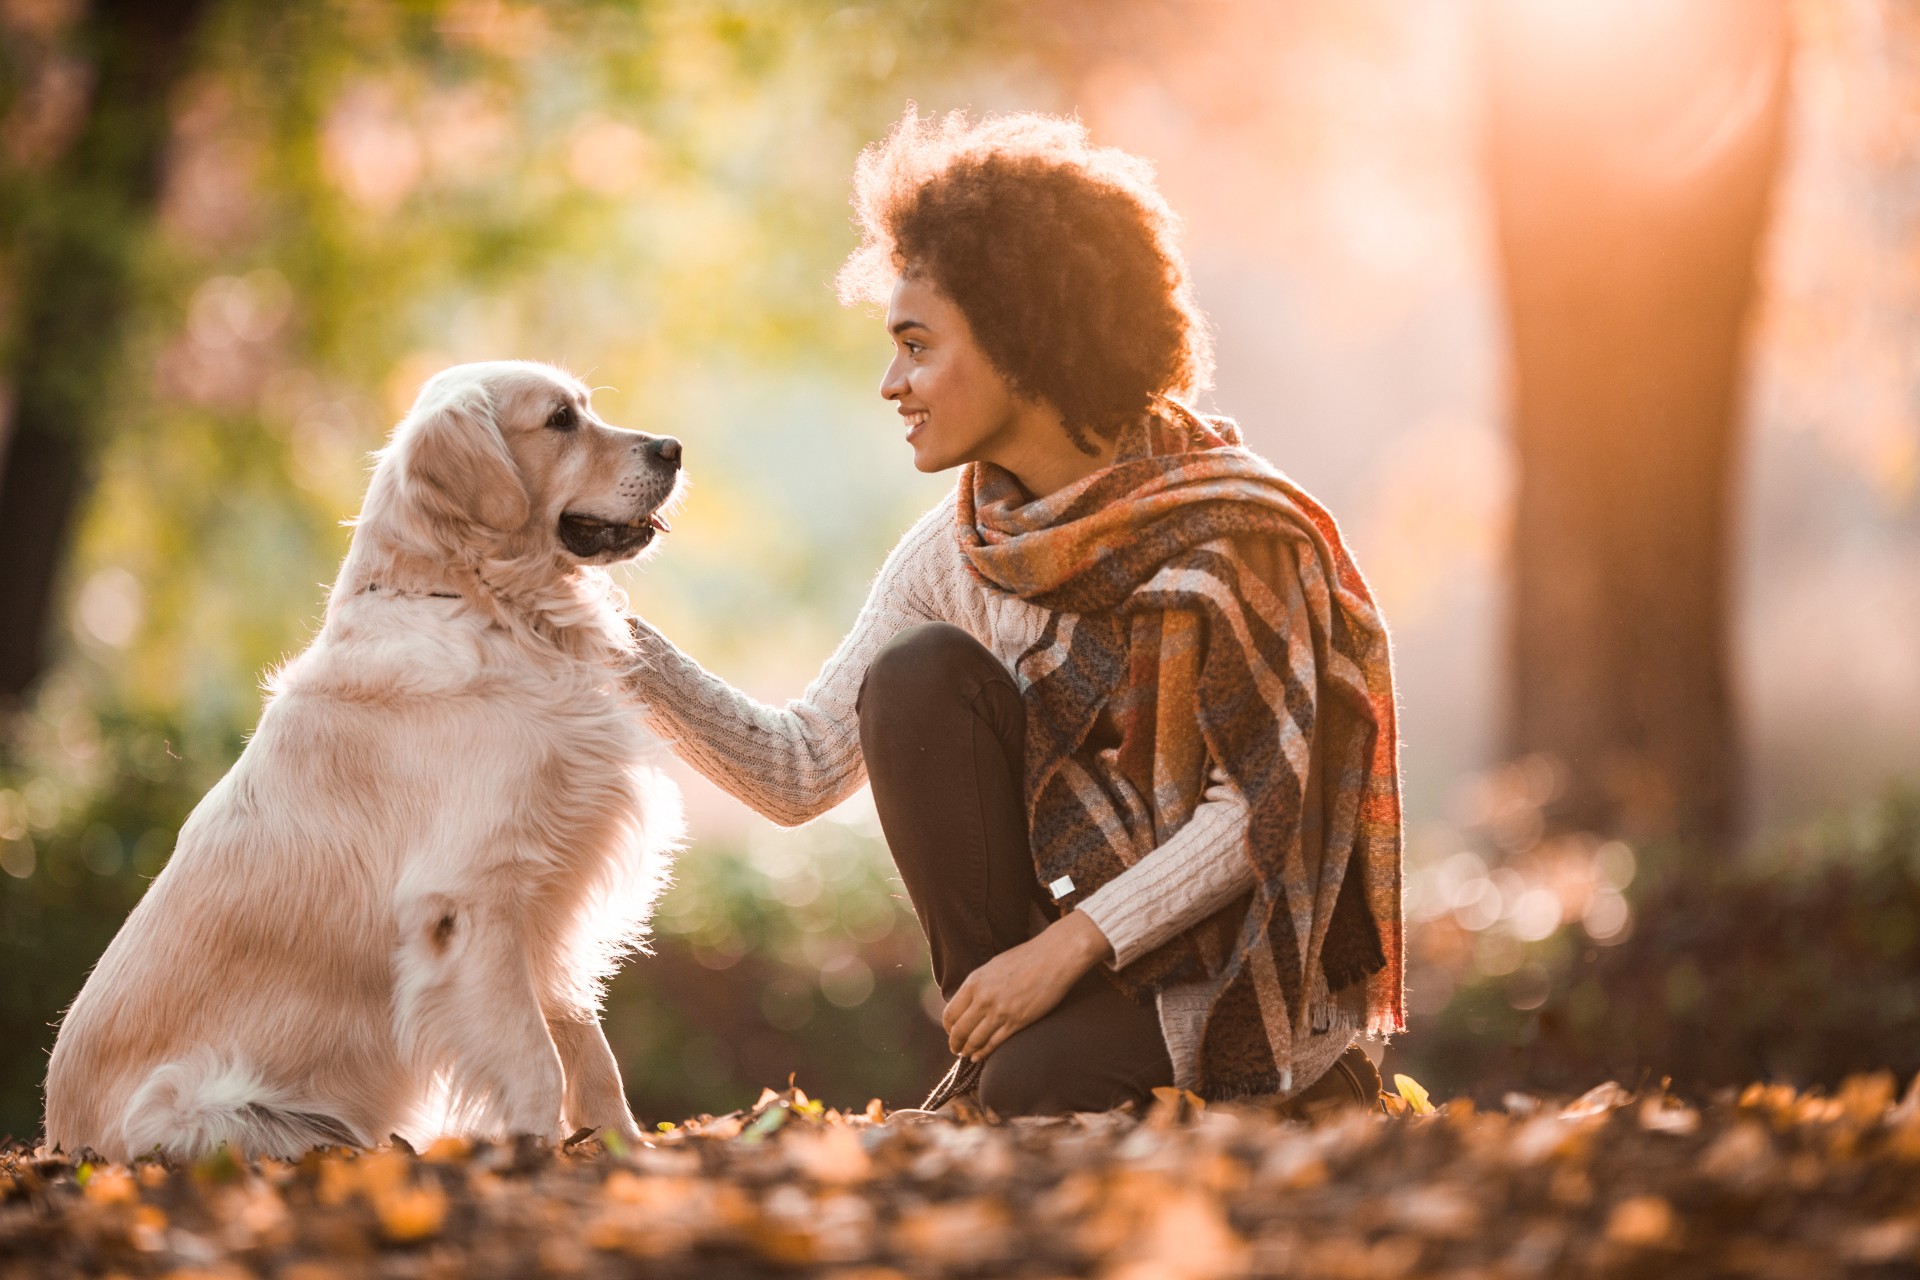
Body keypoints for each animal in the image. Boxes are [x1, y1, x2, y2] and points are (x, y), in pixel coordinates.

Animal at [39, 360, 691, 1159]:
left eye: (586, 408)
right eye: (561, 420)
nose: (673, 449)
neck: (484, 607)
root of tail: (58, 1143)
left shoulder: (549, 893)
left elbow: (591, 1056)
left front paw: (628, 1153)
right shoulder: (471, 897)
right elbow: (537, 1061)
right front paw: (530, 1159)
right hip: (208, 1113)